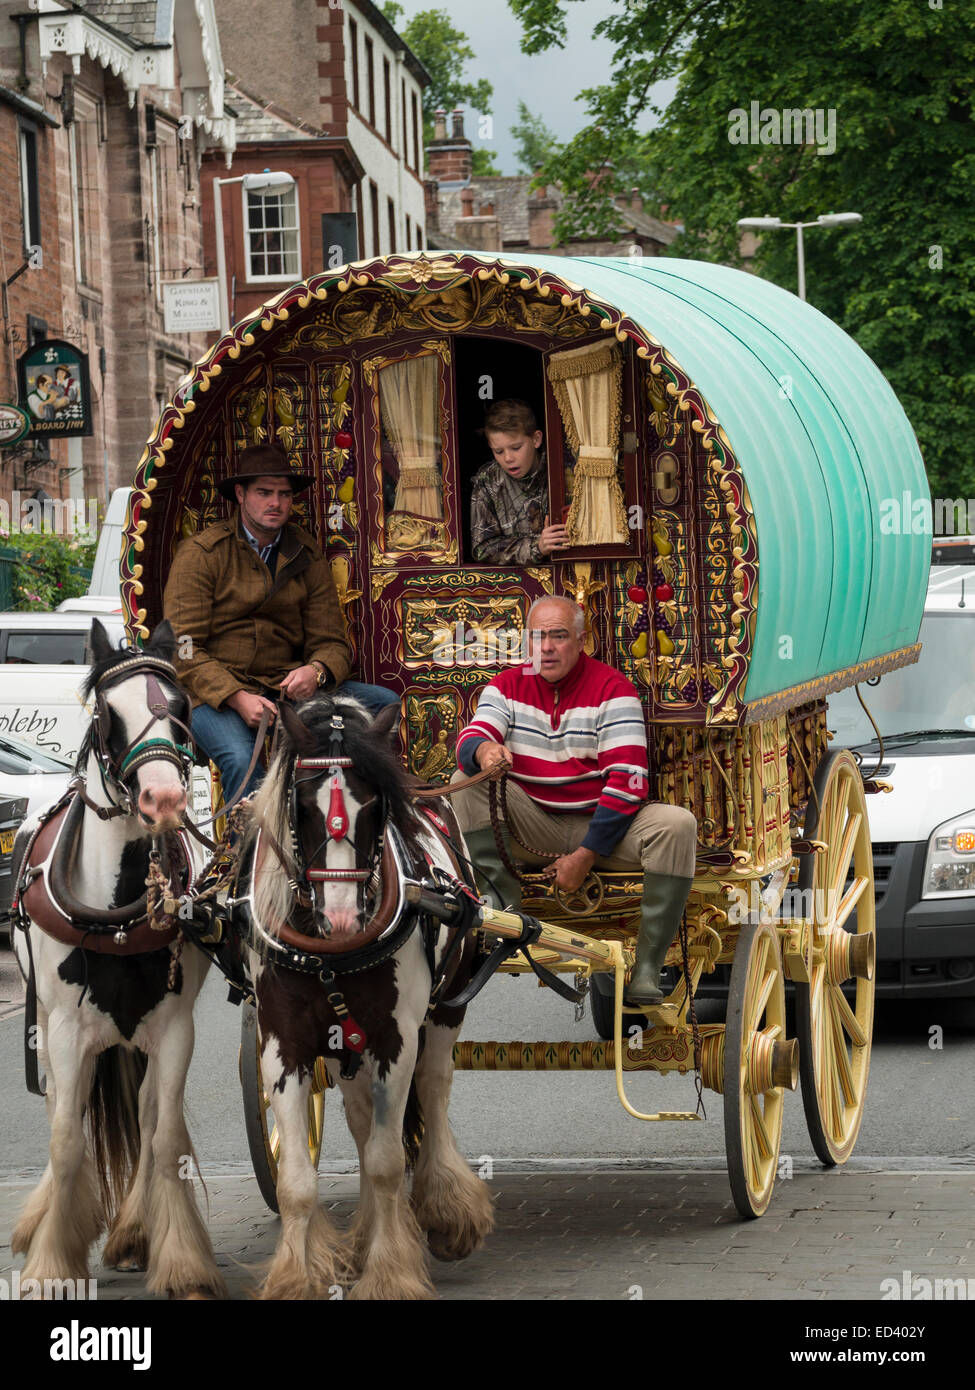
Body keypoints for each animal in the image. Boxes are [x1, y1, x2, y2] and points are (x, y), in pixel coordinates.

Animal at [9, 625, 223, 1295]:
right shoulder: (66, 1030)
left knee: (148, 1114)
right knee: (63, 1108)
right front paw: (52, 1264)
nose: (164, 797)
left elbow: (162, 1135)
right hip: (46, 1023)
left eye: (182, 710)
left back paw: (132, 1231)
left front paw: (180, 1261)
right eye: (108, 713)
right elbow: (65, 1137)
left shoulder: (174, 1028)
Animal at [239, 695, 489, 1301]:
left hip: (447, 1006)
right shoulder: (283, 1045)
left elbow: (385, 1161)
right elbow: (297, 1180)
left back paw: (445, 1210)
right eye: (303, 808)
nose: (343, 917)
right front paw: (297, 1276)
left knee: (435, 1088)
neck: (332, 950)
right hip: (342, 1043)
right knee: (358, 1118)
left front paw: (391, 1273)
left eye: (374, 806)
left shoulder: (394, 1040)